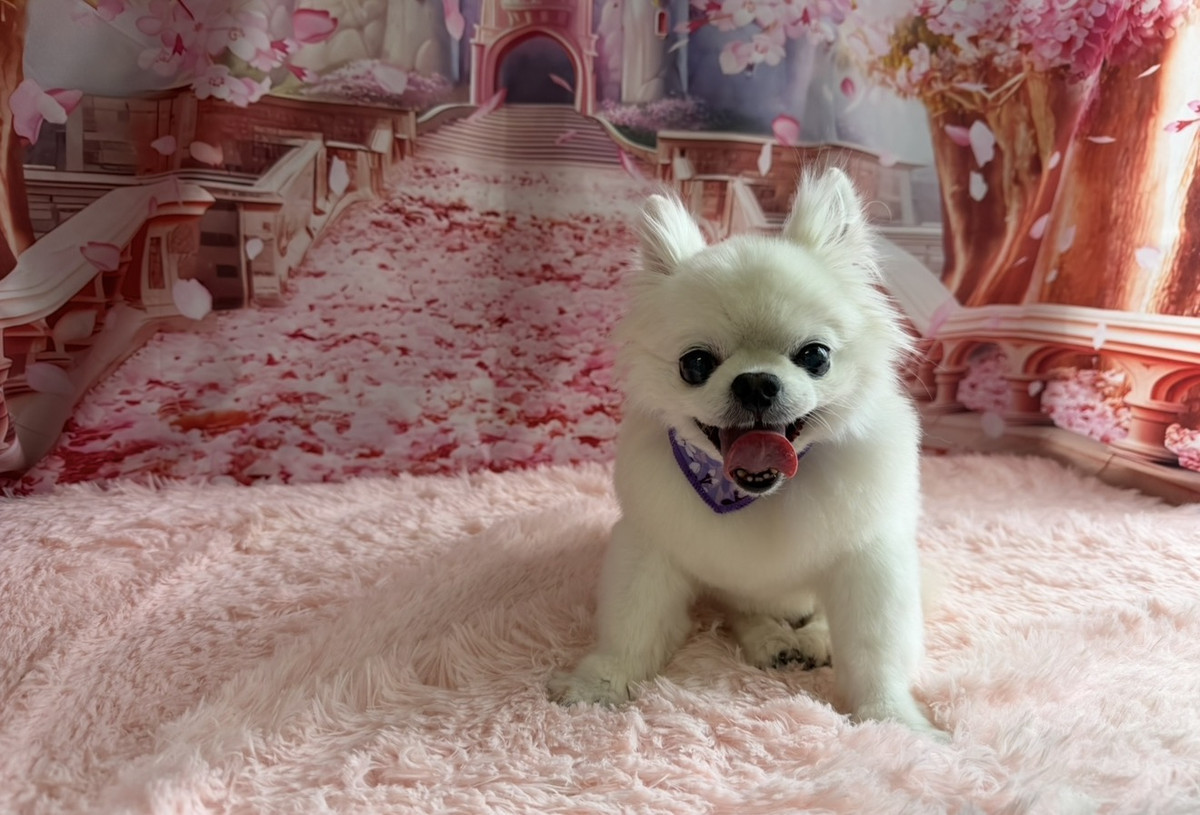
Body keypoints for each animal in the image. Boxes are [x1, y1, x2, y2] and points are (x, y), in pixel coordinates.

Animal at [548, 167, 941, 736]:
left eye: (815, 356)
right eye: (695, 364)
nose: (756, 383)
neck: (760, 495)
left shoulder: (871, 562)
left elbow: (875, 651)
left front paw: (892, 721)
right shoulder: (652, 549)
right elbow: (632, 624)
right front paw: (598, 685)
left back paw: (810, 639)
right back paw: (771, 640)